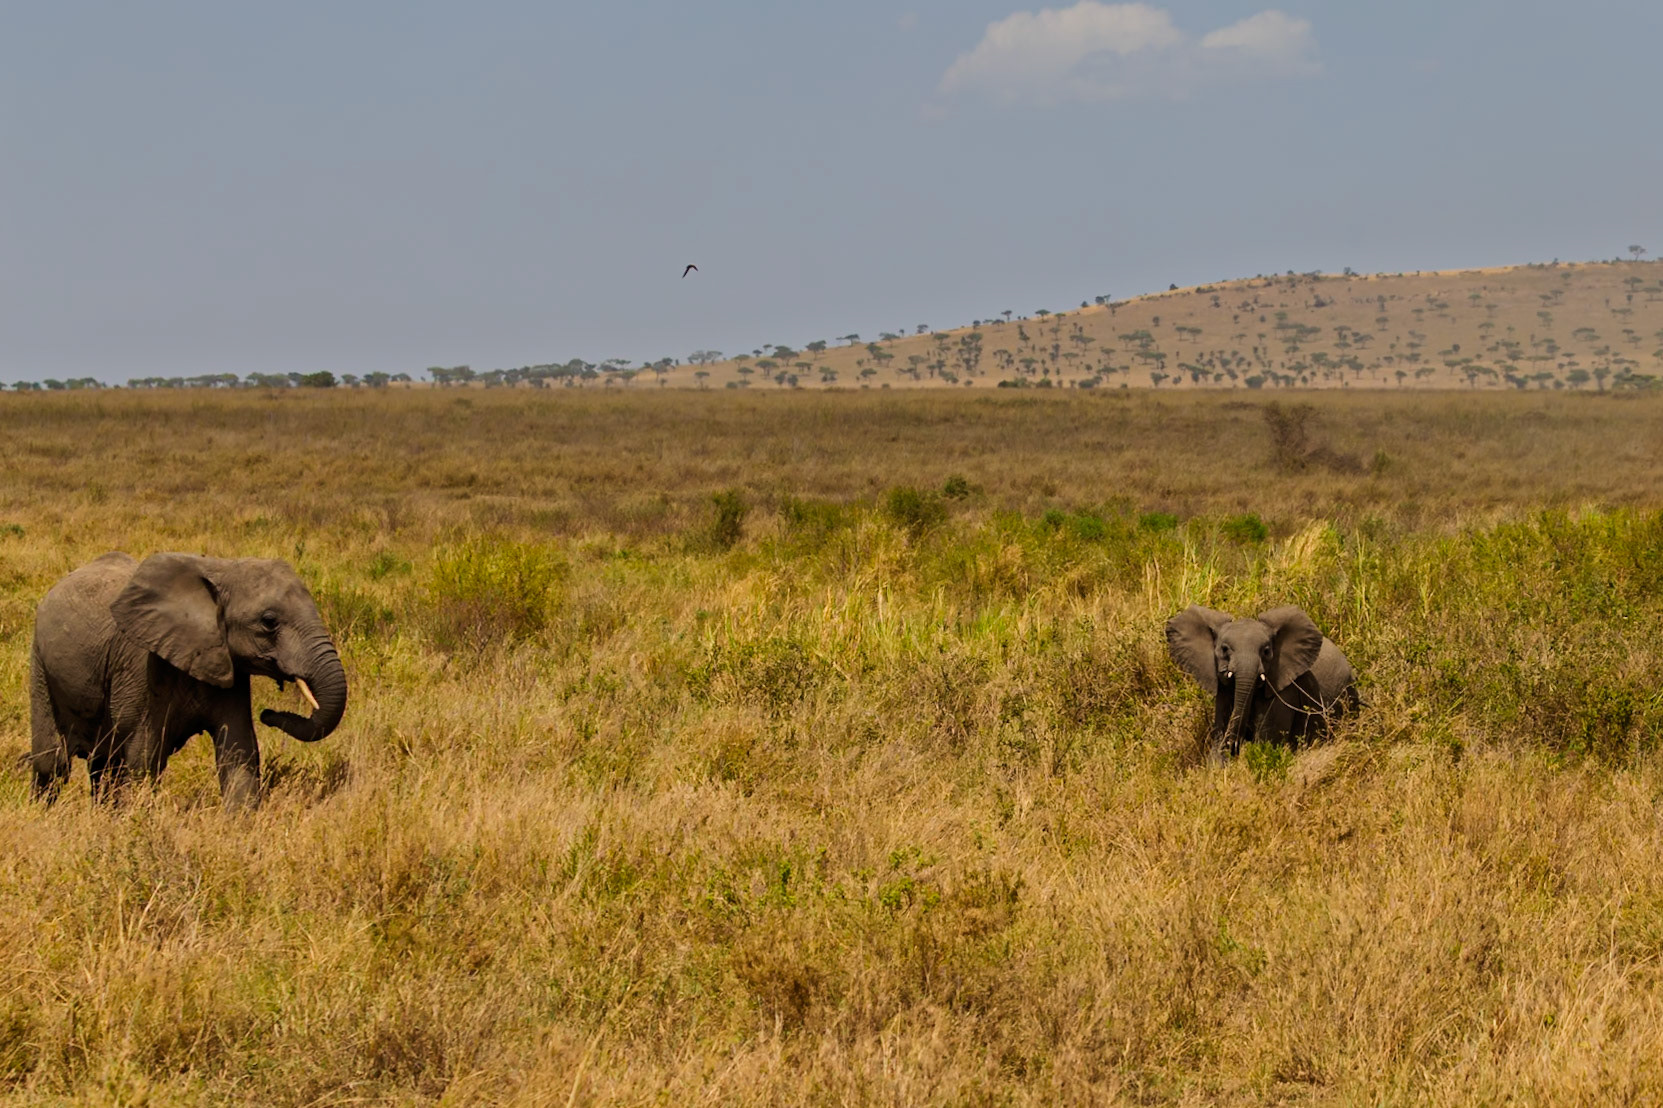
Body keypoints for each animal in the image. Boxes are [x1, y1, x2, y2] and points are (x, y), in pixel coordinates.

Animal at [29, 552, 347, 808]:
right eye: (269, 622)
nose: (268, 714)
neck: (221, 569)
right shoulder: (141, 664)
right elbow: (144, 757)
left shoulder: (228, 667)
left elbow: (239, 750)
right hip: (40, 663)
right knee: (53, 763)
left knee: (101, 763)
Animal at [1165, 604, 1356, 762]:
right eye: (1224, 649)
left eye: (1266, 651)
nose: (1235, 747)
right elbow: (1220, 732)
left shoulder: (1283, 691)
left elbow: (1266, 743)